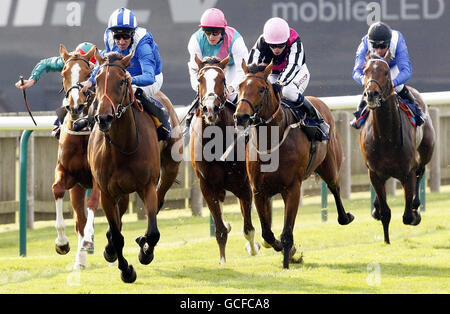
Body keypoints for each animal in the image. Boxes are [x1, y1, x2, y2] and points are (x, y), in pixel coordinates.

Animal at [89, 50, 182, 284]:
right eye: (97, 80)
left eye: (122, 81)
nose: (104, 117)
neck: (123, 148)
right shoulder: (106, 193)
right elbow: (117, 236)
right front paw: (125, 270)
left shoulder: (147, 186)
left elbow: (153, 232)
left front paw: (144, 251)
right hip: (119, 192)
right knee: (118, 220)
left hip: (169, 169)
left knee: (159, 202)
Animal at [190, 55, 260, 264]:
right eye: (200, 80)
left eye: (222, 79)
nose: (210, 109)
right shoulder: (207, 186)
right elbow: (220, 230)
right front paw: (222, 261)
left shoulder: (243, 185)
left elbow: (248, 228)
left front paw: (253, 248)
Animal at [234, 62, 354, 270]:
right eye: (240, 86)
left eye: (261, 89)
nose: (240, 116)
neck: (272, 140)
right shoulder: (259, 190)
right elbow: (267, 233)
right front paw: (282, 248)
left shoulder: (293, 188)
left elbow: (287, 232)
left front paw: (286, 261)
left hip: (330, 165)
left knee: (335, 187)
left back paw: (344, 217)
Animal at [356, 52, 434, 244]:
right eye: (365, 71)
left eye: (385, 72)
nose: (371, 94)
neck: (386, 138)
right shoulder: (374, 173)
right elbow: (385, 212)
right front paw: (386, 240)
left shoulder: (407, 172)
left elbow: (407, 216)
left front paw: (414, 213)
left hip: (426, 151)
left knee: (421, 171)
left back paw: (416, 205)